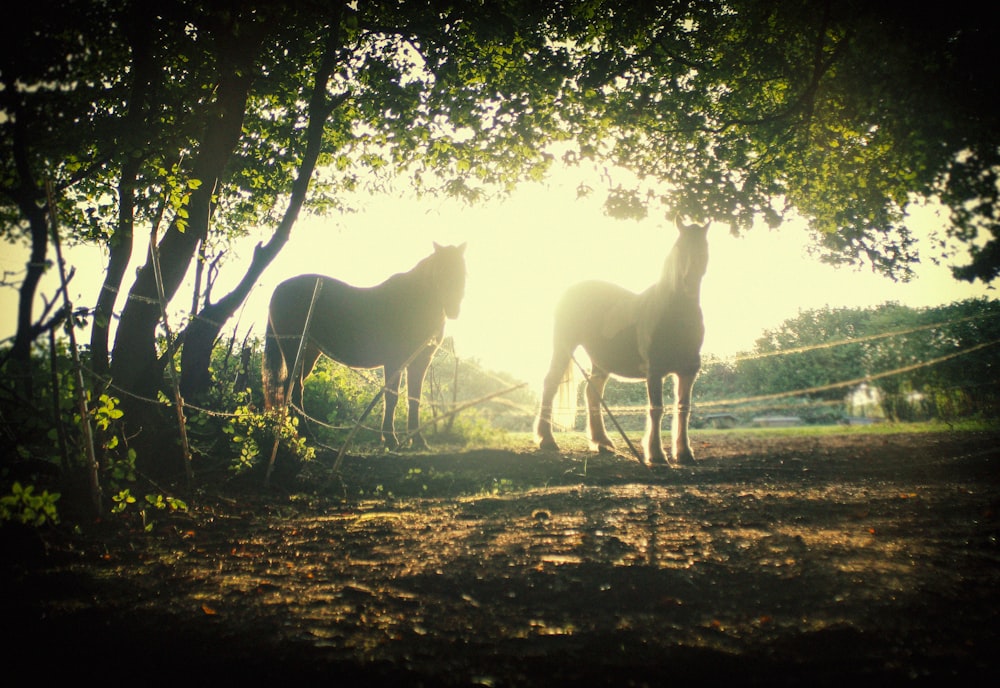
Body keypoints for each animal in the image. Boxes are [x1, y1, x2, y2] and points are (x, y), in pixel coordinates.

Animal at [266, 242, 468, 452]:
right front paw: (390, 439)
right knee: (293, 387)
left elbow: (414, 399)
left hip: (308, 354)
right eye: (440, 271)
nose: (453, 310)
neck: (411, 304)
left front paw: (419, 441)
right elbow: (391, 398)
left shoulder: (420, 362)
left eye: (464, 273)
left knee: (290, 388)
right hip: (293, 350)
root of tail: (279, 289)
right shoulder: (394, 362)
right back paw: (303, 434)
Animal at [532, 223, 712, 464]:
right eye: (680, 249)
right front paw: (656, 454)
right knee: (550, 385)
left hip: (600, 361)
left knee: (592, 392)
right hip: (564, 347)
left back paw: (602, 442)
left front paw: (684, 453)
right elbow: (656, 409)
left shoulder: (688, 372)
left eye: (704, 250)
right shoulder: (655, 371)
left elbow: (684, 409)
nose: (688, 284)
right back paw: (547, 440)